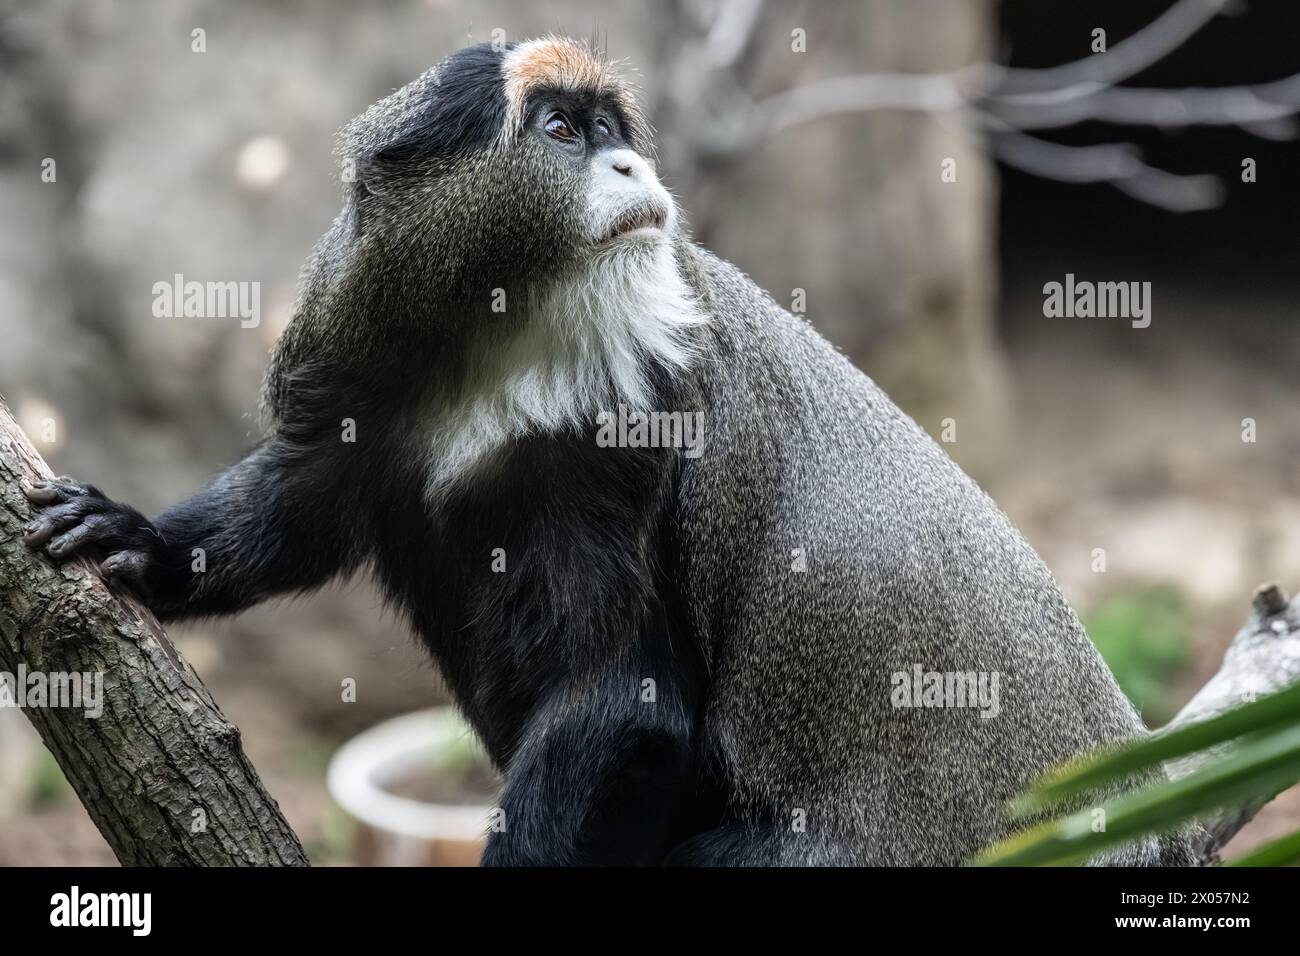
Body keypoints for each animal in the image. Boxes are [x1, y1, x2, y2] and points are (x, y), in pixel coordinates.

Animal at [20, 37, 1196, 863]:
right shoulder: (354, 348)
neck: (502, 326)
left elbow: (621, 697)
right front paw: (136, 539)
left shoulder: (623, 445)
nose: (631, 161)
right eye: (560, 131)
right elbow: (297, 507)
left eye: (606, 126)